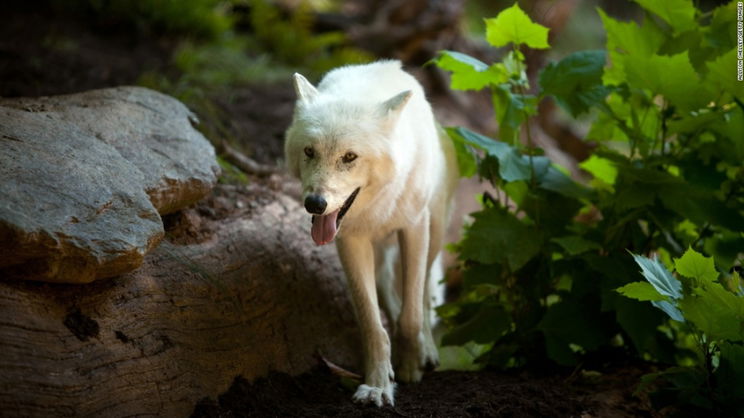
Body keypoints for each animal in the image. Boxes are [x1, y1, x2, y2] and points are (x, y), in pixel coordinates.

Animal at [284, 60, 460, 406]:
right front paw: (378, 385)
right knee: (387, 287)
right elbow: (372, 324)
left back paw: (427, 351)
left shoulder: (414, 229)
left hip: (434, 232)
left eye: (349, 157)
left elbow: (412, 314)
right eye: (310, 151)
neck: (377, 205)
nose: (315, 204)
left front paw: (410, 367)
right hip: (379, 253)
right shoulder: (351, 242)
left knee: (422, 295)